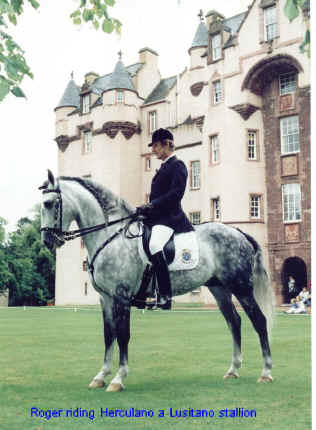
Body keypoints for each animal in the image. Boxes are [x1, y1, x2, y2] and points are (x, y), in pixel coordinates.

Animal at [40, 170, 274, 392]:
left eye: (49, 203)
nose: (48, 241)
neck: (110, 238)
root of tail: (239, 232)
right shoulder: (105, 298)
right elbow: (109, 335)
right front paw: (101, 376)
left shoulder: (121, 297)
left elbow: (123, 335)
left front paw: (118, 379)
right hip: (220, 290)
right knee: (234, 322)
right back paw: (233, 370)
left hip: (241, 288)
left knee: (259, 321)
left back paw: (266, 372)